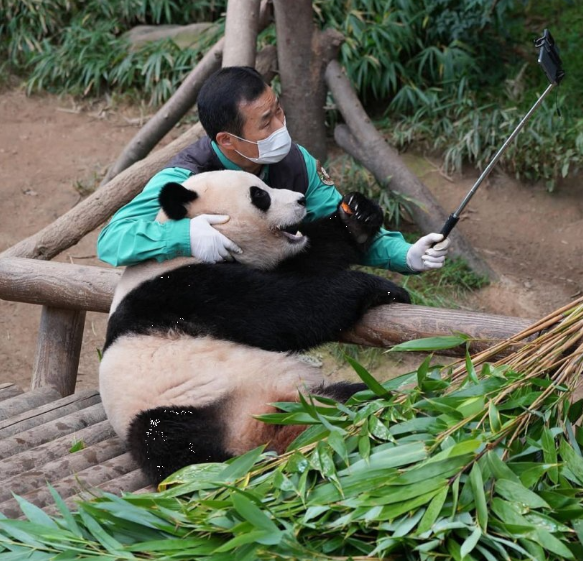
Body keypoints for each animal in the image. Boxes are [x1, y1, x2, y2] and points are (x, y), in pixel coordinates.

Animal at [99, 168, 410, 484]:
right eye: (260, 195)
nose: (301, 199)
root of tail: (260, 429)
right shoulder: (184, 290)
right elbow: (285, 310)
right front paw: (376, 286)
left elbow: (307, 262)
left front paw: (357, 217)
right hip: (171, 407)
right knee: (169, 445)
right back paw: (241, 469)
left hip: (315, 393)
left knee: (360, 392)